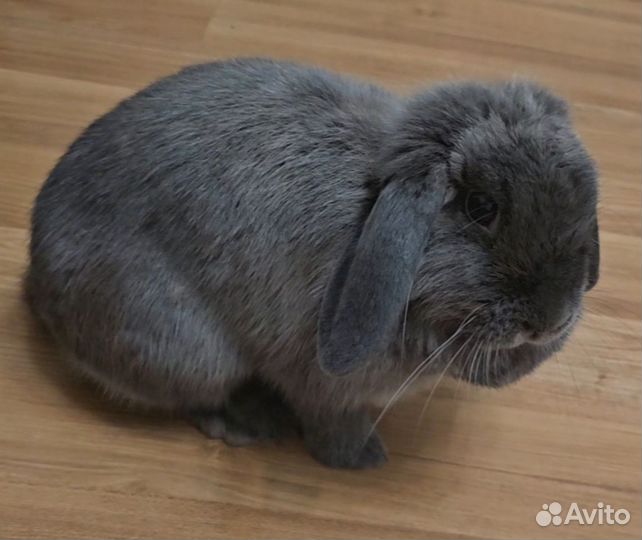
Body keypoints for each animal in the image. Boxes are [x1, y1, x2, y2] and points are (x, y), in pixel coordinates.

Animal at [26, 58, 599, 468]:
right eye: (482, 208)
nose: (550, 320)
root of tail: (37, 283)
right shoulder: (325, 386)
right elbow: (332, 421)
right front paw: (362, 460)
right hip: (192, 348)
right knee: (191, 394)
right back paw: (249, 424)